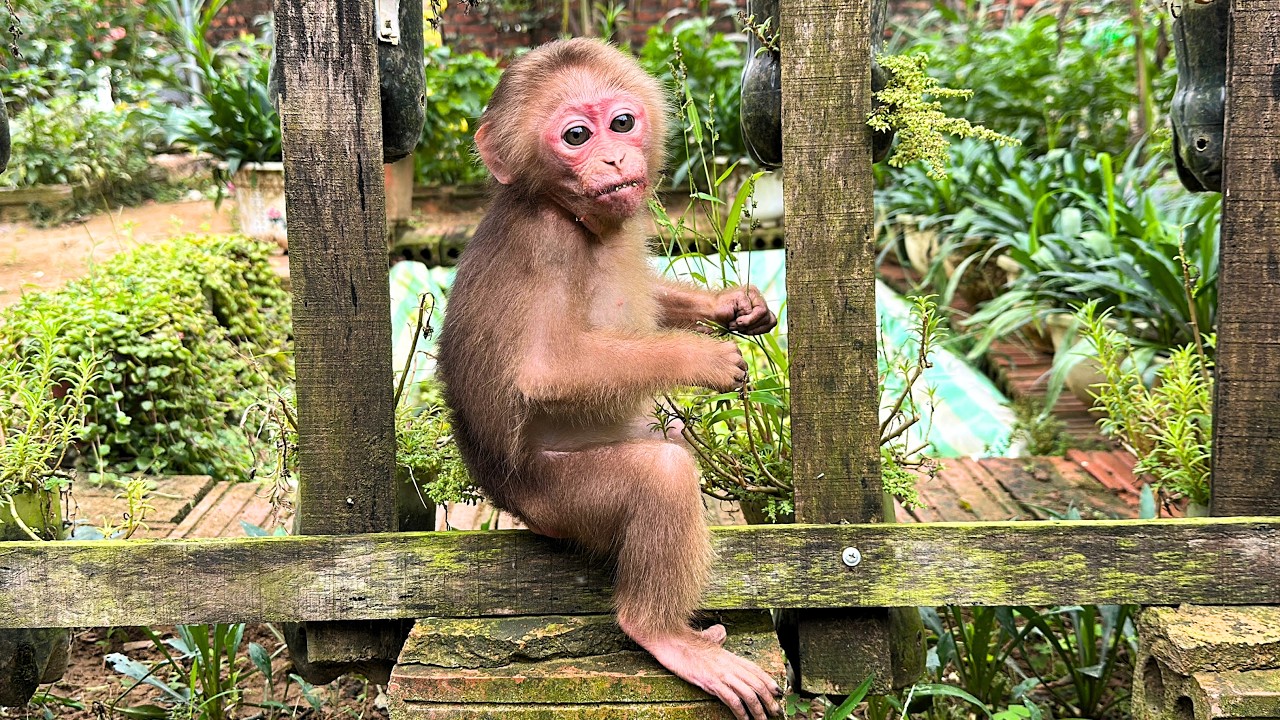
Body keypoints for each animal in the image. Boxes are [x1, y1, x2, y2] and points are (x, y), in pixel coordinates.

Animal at [435, 38, 782, 720]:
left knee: (668, 443)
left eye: (621, 122)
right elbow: (542, 371)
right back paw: (660, 632)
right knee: (662, 474)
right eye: (576, 135)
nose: (615, 156)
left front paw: (733, 307)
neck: (565, 212)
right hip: (555, 500)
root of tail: (504, 494)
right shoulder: (545, 244)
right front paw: (702, 359)